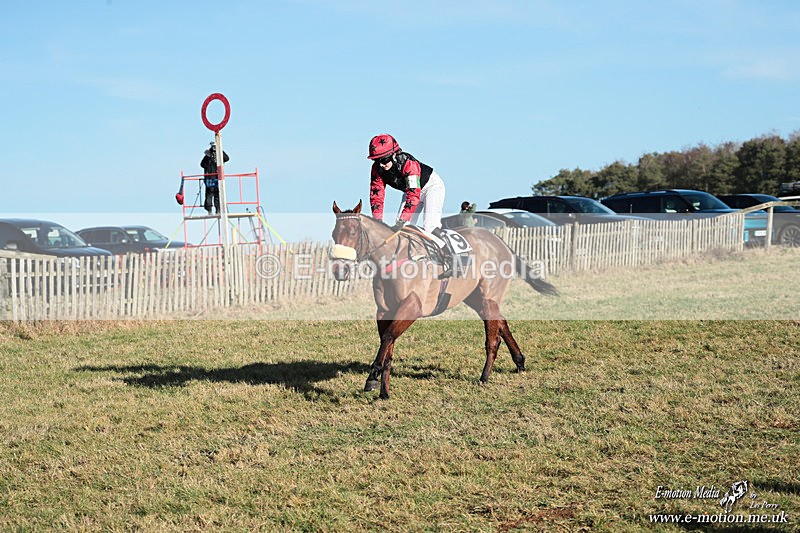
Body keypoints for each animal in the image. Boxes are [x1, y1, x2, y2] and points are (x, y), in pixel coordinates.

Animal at [330, 200, 558, 399]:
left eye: (352, 232)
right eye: (334, 234)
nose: (340, 270)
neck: (395, 257)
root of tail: (500, 241)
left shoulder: (412, 307)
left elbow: (387, 338)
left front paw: (372, 378)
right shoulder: (385, 311)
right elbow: (388, 346)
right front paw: (384, 391)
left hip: (488, 297)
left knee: (492, 339)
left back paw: (484, 377)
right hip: (474, 298)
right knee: (501, 321)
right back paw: (519, 361)